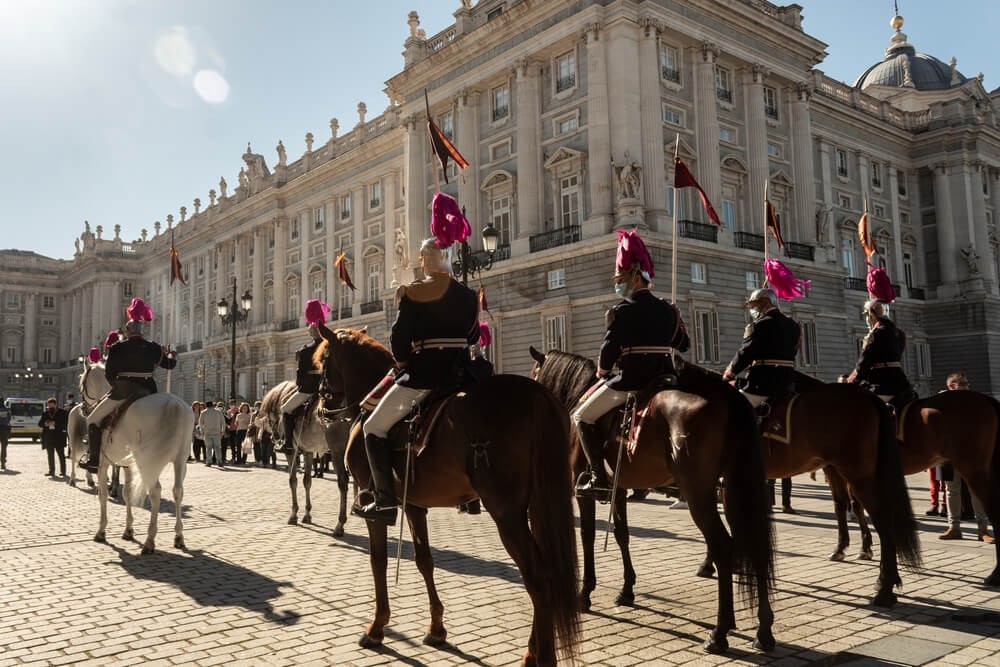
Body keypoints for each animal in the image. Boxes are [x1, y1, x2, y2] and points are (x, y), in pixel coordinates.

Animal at [79, 360, 194, 552]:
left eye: (82, 383)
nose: (83, 408)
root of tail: (173, 403)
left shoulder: (104, 463)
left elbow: (103, 494)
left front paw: (101, 531)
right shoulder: (127, 464)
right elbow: (127, 493)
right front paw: (128, 530)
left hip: (147, 461)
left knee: (155, 491)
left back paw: (149, 540)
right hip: (180, 461)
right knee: (178, 491)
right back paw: (179, 536)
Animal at [258, 380, 352, 536]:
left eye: (269, 421)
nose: (273, 438)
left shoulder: (291, 453)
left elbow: (293, 481)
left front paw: (293, 514)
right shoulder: (308, 452)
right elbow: (307, 481)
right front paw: (307, 514)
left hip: (337, 452)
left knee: (343, 483)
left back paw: (340, 524)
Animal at [312, 326, 580, 664]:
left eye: (323, 361)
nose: (321, 408)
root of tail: (537, 396)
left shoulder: (369, 498)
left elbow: (378, 561)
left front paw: (376, 628)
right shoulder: (414, 505)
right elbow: (424, 560)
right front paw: (437, 628)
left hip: (507, 513)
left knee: (539, 578)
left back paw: (538, 656)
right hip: (535, 507)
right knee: (548, 574)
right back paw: (534, 650)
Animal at [528, 350, 776, 656]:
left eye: (533, 375)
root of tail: (727, 396)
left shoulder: (583, 493)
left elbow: (587, 536)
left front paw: (584, 594)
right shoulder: (619, 489)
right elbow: (621, 535)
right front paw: (626, 590)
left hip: (698, 493)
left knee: (722, 546)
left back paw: (719, 632)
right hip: (732, 489)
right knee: (754, 544)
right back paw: (763, 631)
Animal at [820, 392, 1000, 584]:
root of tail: (985, 399)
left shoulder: (837, 469)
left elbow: (841, 506)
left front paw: (841, 548)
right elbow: (856, 506)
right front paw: (865, 549)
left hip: (974, 471)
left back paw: (995, 574)